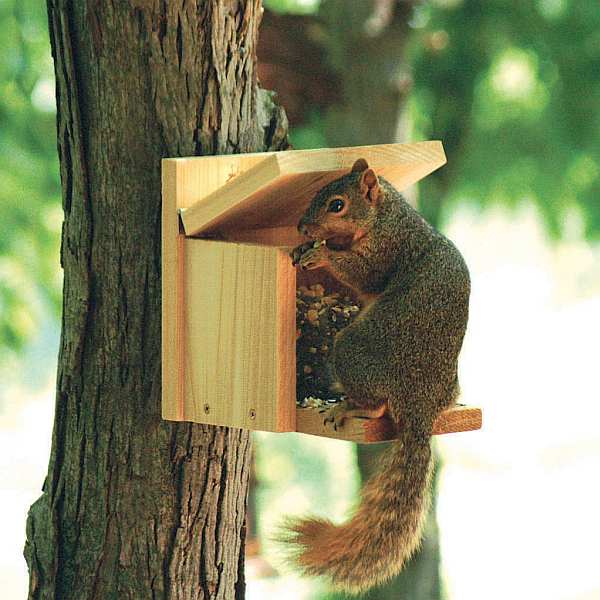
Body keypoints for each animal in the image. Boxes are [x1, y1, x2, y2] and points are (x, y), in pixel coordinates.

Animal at [284, 157, 472, 592]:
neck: (387, 215)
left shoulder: (387, 249)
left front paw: (321, 256)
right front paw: (307, 249)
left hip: (352, 350)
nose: (302, 227)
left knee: (376, 405)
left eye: (337, 204)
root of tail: (421, 408)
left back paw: (347, 408)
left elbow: (364, 274)